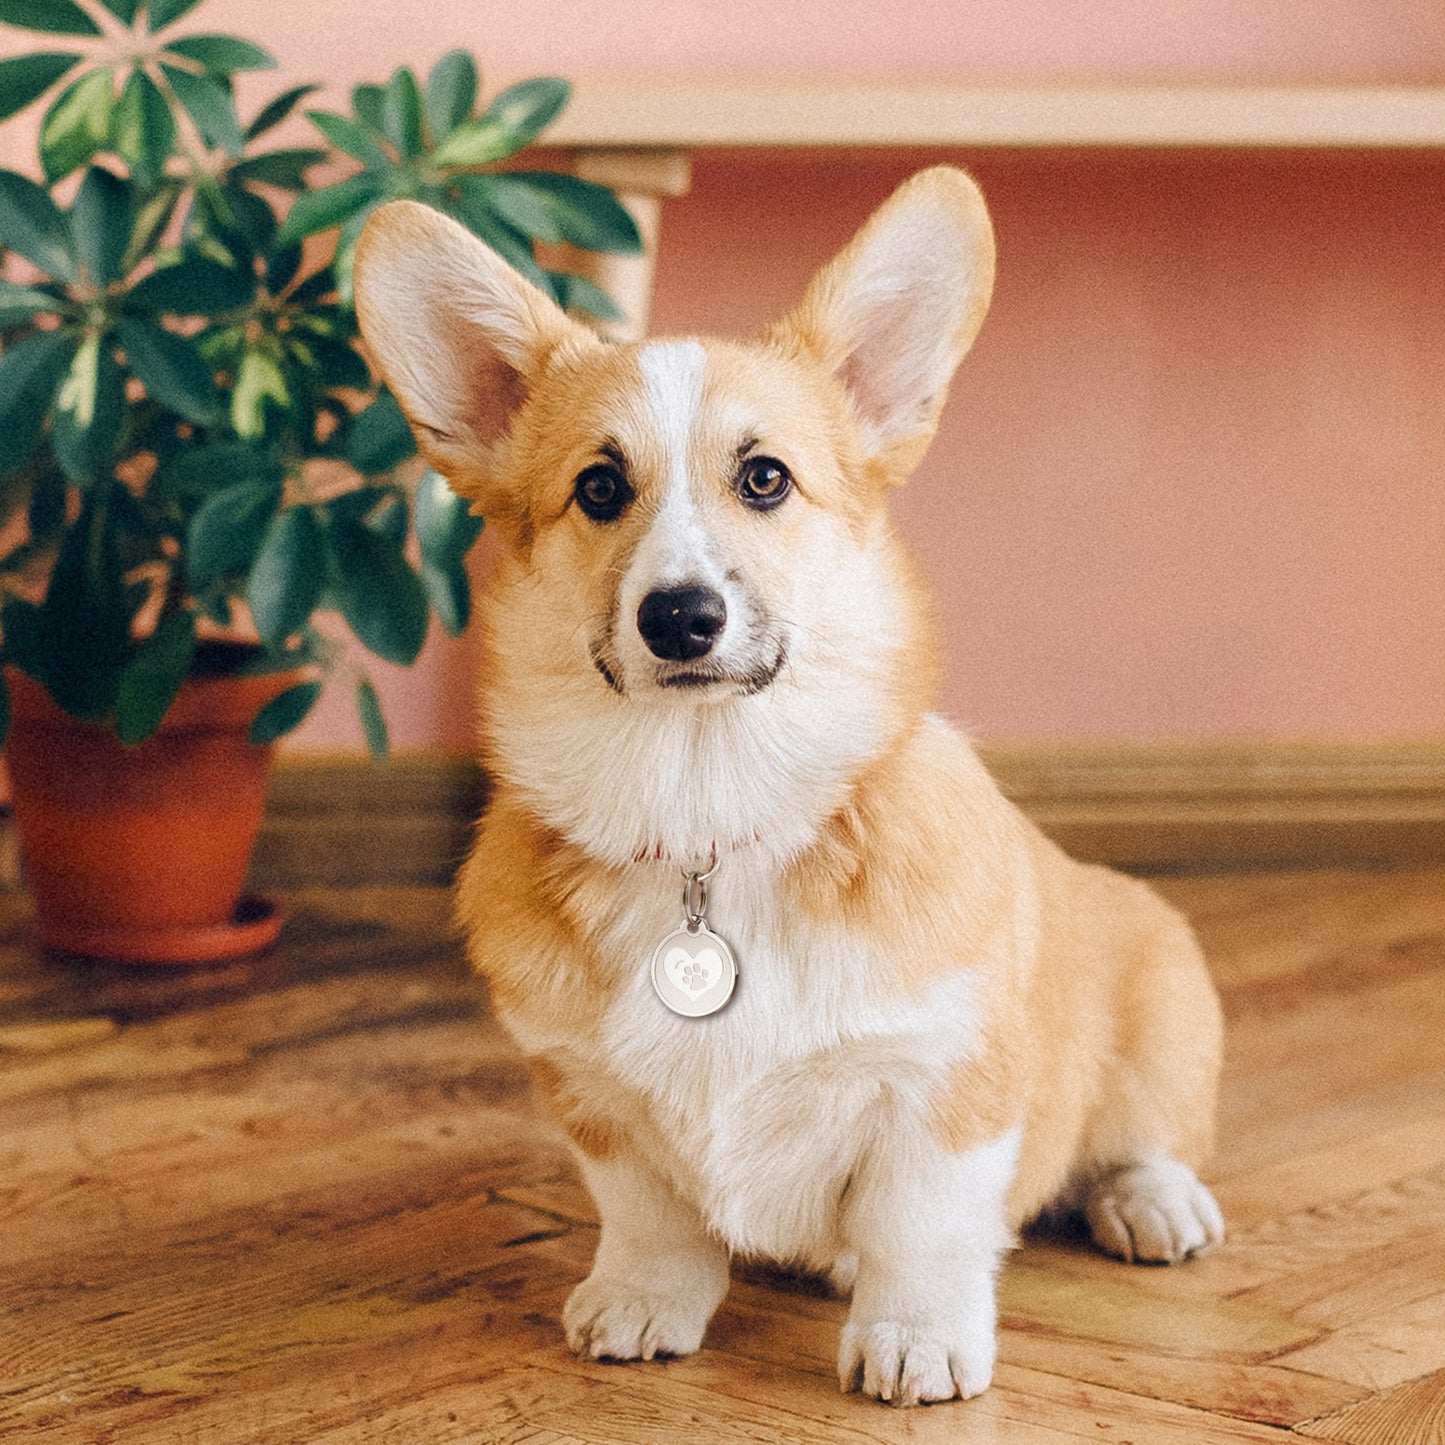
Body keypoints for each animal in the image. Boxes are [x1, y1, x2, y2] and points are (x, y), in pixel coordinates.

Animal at [349, 164, 1219, 1404]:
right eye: (598, 487)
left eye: (764, 478)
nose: (680, 615)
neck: (707, 813)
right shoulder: (590, 1096)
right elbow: (649, 1216)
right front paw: (641, 1299)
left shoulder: (939, 1083)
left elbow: (919, 1223)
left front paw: (912, 1337)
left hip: (1159, 994)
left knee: (1140, 1138)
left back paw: (1151, 1202)